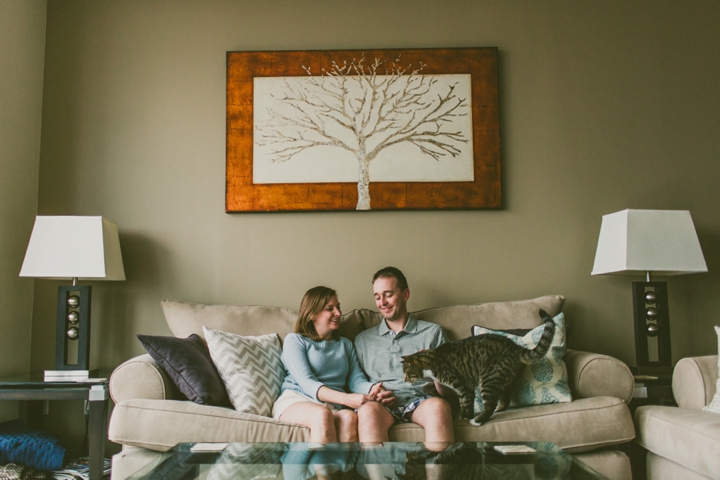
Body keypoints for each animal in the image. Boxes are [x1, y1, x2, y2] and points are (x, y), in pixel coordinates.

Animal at [400, 312, 556, 428]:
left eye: (407, 374)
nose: (405, 380)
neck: (431, 360)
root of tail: (515, 347)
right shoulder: (461, 391)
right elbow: (463, 404)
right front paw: (462, 417)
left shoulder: (464, 387)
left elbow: (467, 405)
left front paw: (467, 418)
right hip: (501, 378)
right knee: (505, 397)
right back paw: (500, 409)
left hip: (488, 377)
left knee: (490, 405)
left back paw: (477, 420)